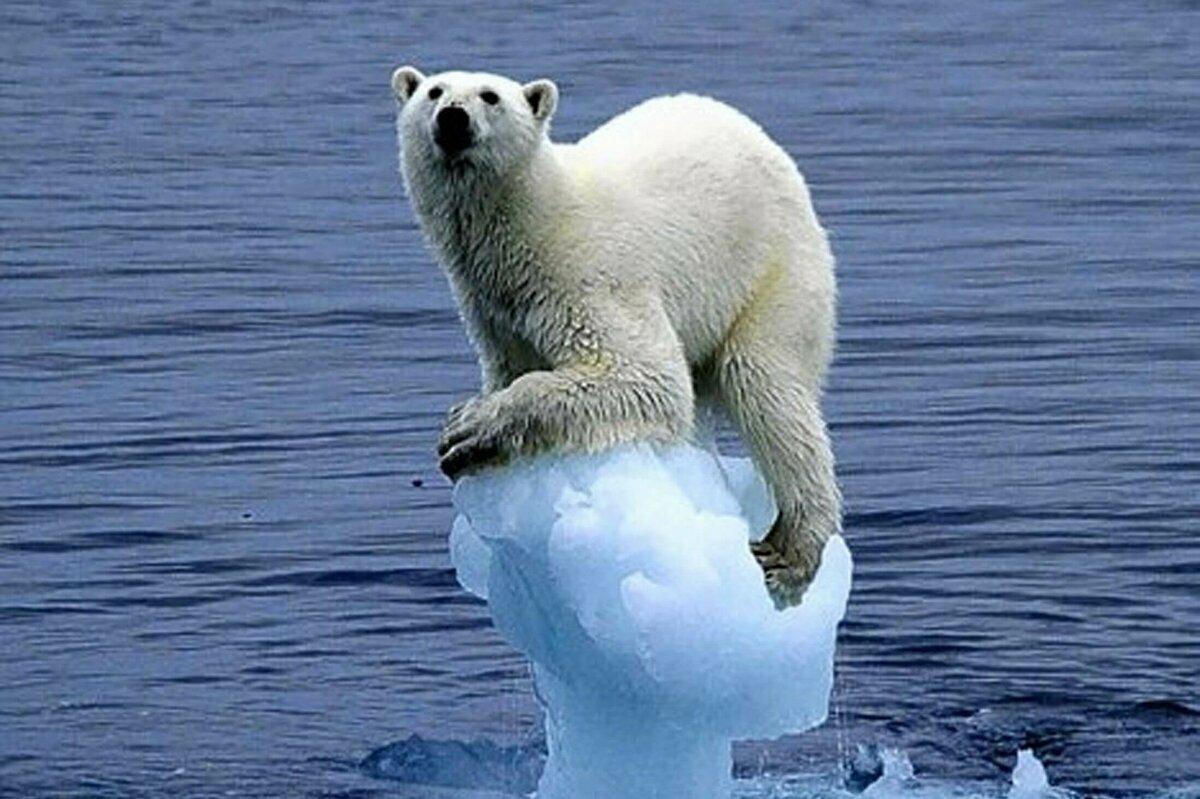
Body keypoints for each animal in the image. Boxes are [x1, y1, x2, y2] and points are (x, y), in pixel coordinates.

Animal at [391, 66, 840, 607]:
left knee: (768, 390)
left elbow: (644, 375)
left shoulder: (586, 276)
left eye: (490, 96)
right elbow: (513, 366)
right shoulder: (495, 309)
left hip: (773, 269)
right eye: (433, 91)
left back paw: (790, 552)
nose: (453, 118)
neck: (532, 220)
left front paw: (467, 427)